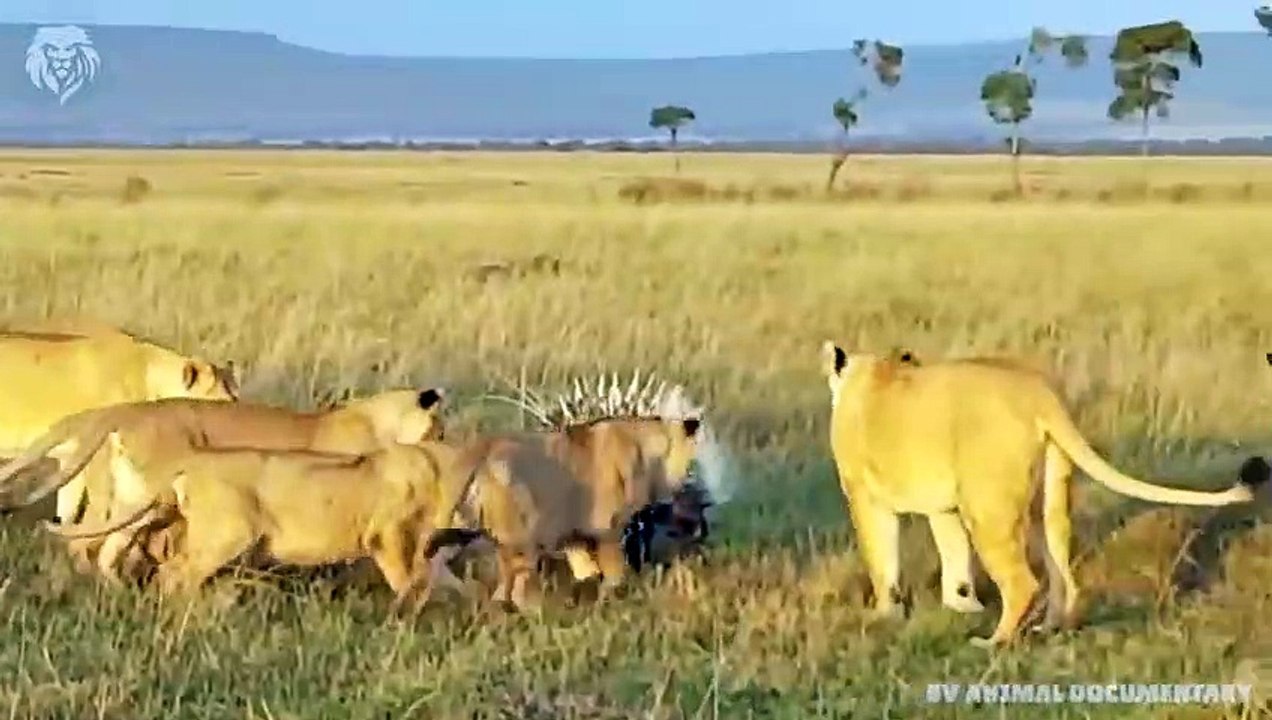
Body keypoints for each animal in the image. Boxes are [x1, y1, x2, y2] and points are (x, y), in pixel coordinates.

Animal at [0, 387, 447, 582]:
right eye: (439, 429)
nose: (447, 441)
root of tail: (124, 410)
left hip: (135, 502)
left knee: (101, 546)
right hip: (148, 498)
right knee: (87, 544)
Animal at [819, 341, 1269, 647]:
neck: (871, 373)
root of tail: (1038, 392)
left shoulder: (864, 496)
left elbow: (882, 559)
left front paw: (884, 615)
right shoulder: (943, 505)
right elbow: (953, 554)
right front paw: (961, 605)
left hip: (989, 505)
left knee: (1023, 582)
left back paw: (994, 642)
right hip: (1048, 496)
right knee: (1062, 572)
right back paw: (1051, 626)